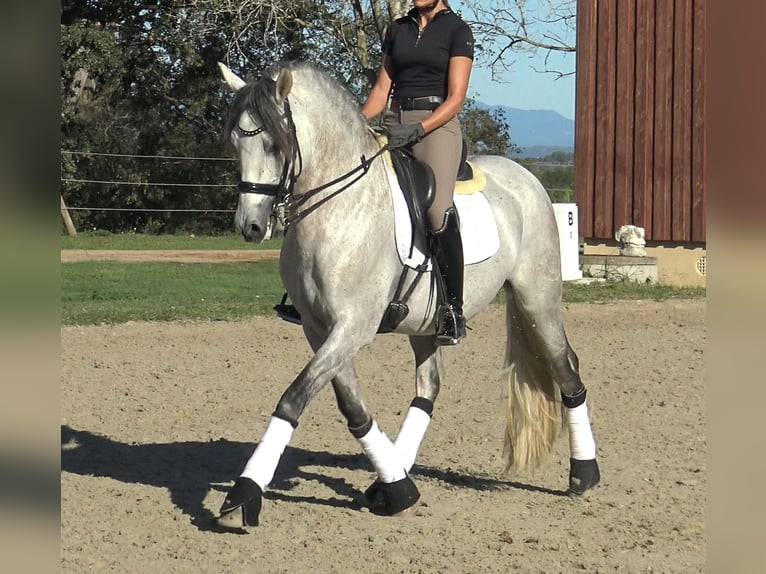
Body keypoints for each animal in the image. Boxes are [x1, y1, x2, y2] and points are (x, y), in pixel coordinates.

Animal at [214, 60, 600, 532]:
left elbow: (293, 398)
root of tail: (526, 178)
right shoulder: (320, 328)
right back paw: (393, 476)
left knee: (566, 367)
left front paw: (243, 494)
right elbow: (352, 406)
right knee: (429, 388)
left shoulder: (353, 327)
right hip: (428, 322)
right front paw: (399, 489)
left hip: (536, 299)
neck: (338, 207)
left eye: (273, 144)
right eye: (235, 143)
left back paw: (584, 473)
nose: (250, 226)